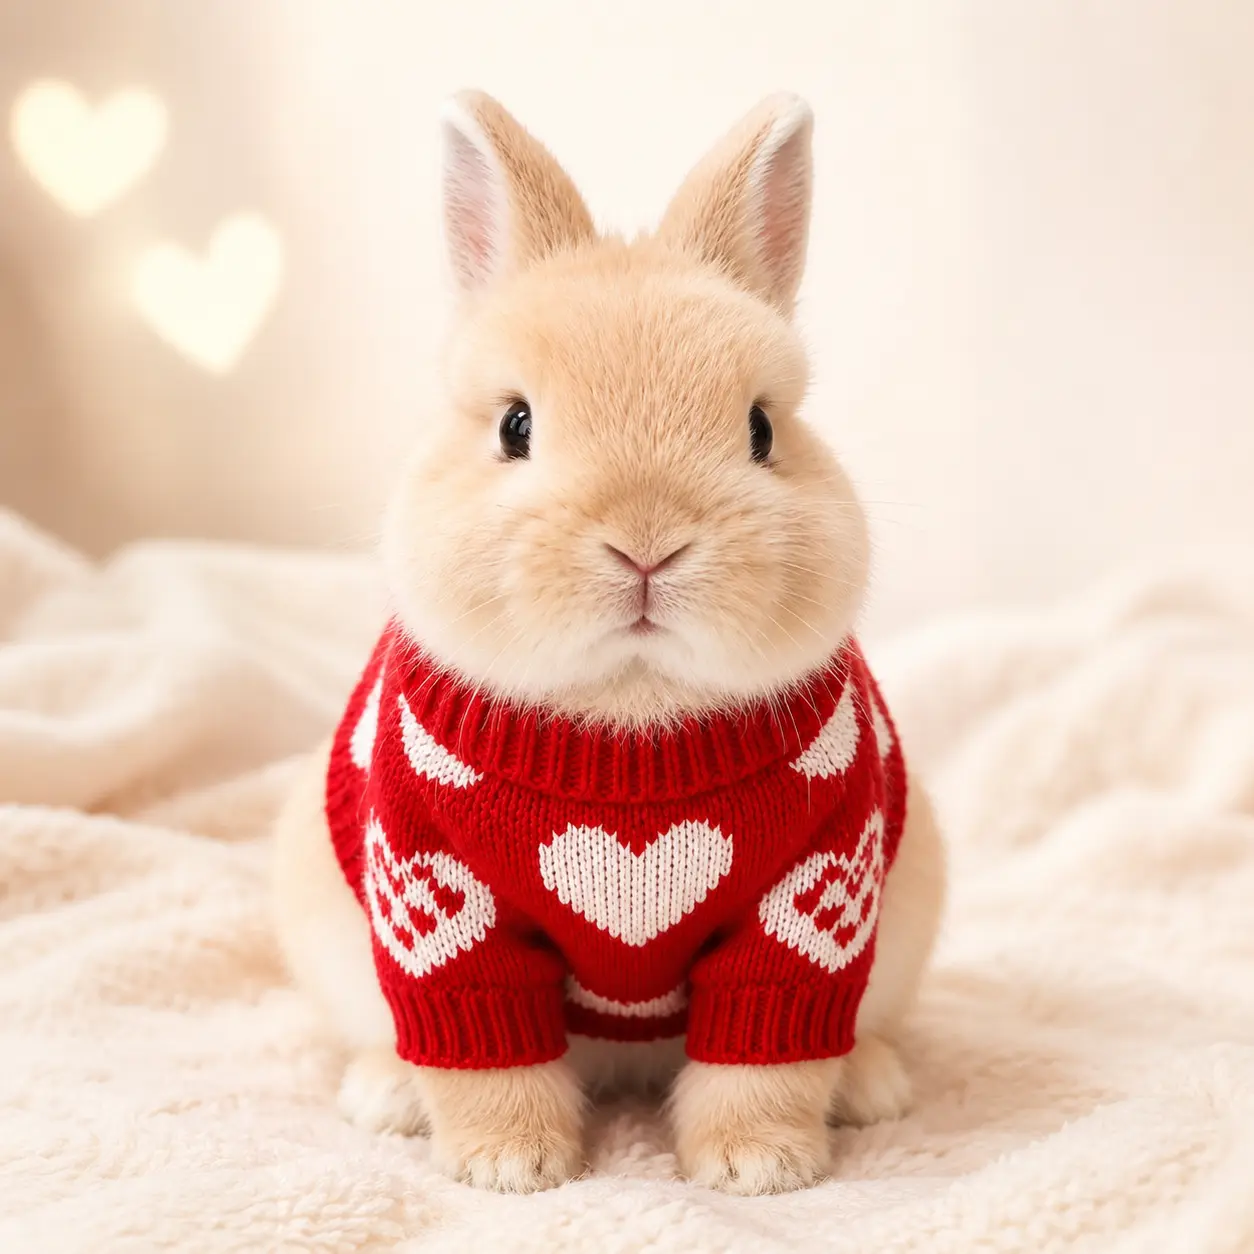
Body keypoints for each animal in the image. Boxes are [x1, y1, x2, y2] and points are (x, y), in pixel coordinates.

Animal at [272, 88, 945, 1196]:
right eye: (514, 426)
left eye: (762, 431)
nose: (646, 543)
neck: (631, 710)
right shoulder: (440, 910)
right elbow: (482, 1053)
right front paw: (510, 1166)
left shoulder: (808, 904)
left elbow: (767, 1054)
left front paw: (758, 1168)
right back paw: (383, 1095)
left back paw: (876, 1085)